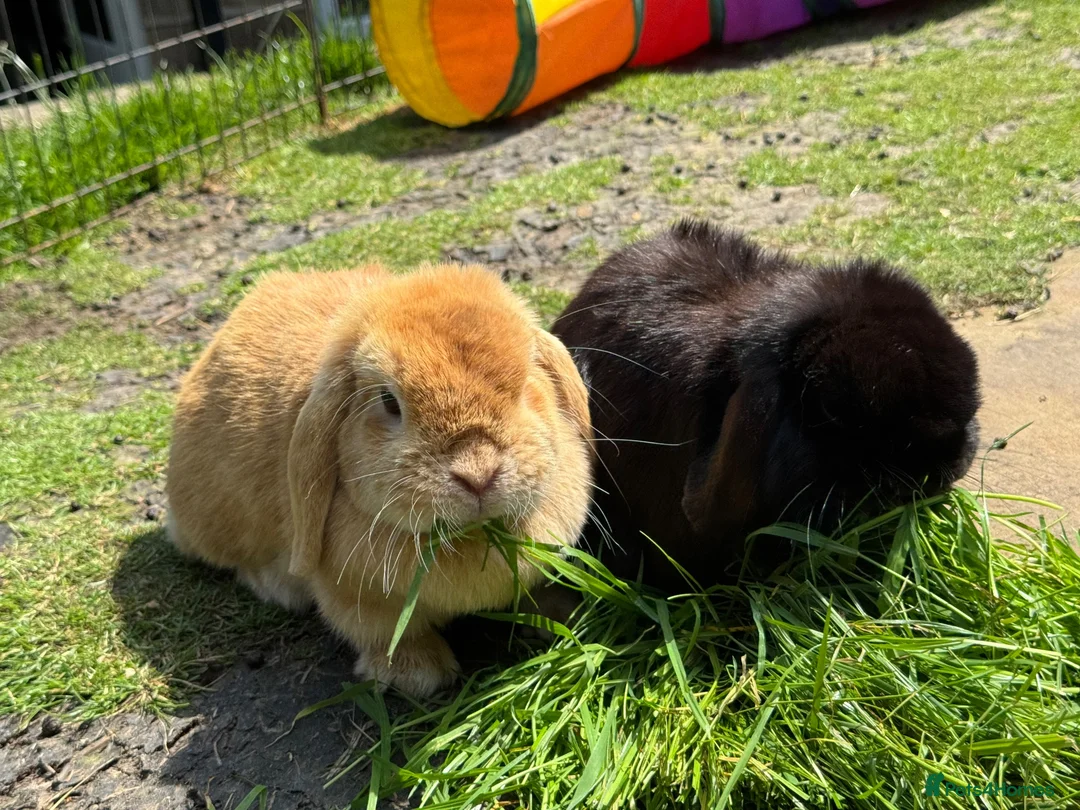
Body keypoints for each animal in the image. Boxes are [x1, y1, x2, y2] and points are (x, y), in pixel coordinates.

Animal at [166, 264, 592, 696]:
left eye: (525, 385)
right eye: (389, 401)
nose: (478, 474)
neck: (472, 536)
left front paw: (565, 615)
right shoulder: (355, 596)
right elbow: (386, 633)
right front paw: (417, 675)